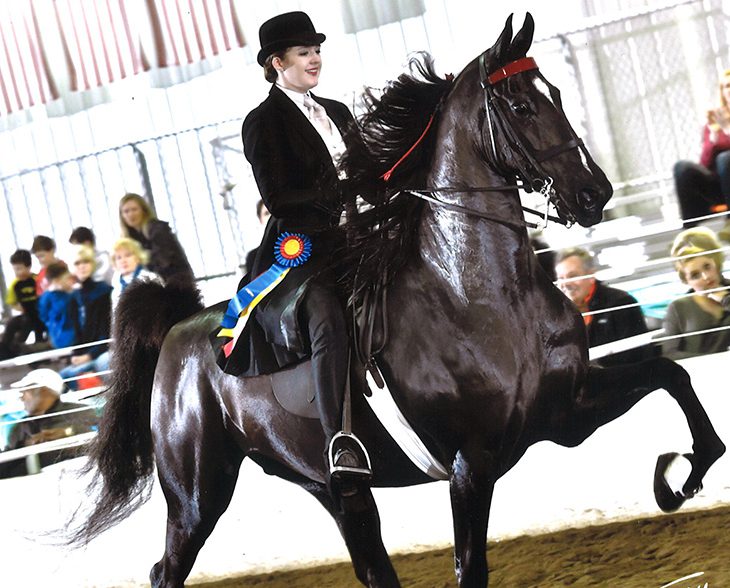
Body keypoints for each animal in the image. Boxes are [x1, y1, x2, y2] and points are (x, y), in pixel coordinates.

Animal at [71, 13, 720, 588]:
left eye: (555, 92)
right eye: (520, 106)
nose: (593, 194)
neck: (478, 296)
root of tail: (177, 332)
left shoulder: (568, 410)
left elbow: (673, 374)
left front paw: (679, 478)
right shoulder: (470, 464)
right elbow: (470, 569)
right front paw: (677, 474)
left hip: (331, 488)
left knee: (371, 565)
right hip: (197, 492)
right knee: (167, 569)